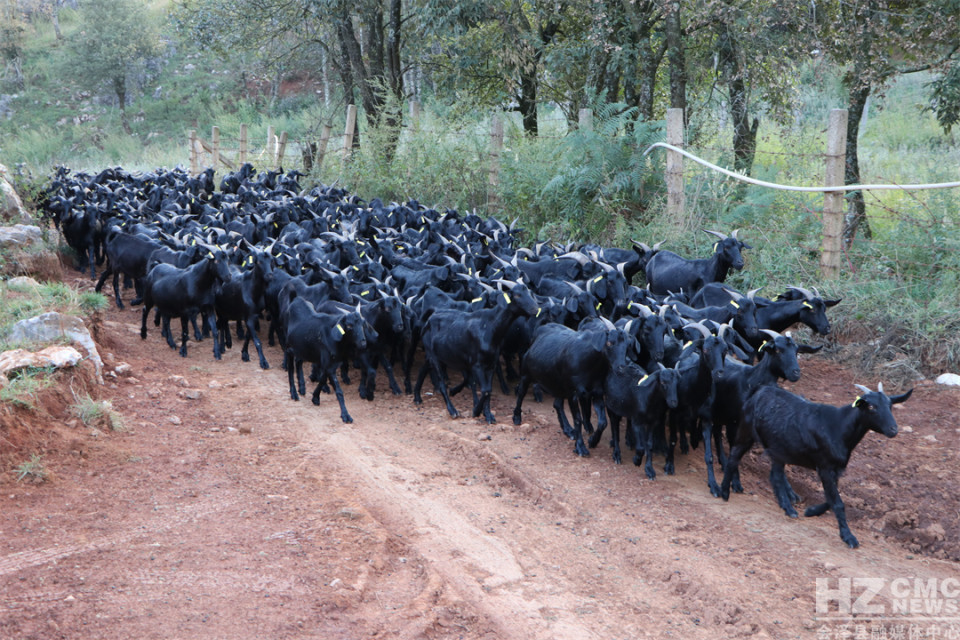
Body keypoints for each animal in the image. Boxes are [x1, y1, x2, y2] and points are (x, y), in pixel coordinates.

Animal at [720, 382, 916, 548]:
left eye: (890, 406)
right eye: (871, 406)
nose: (893, 429)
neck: (839, 428)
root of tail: (759, 392)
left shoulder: (836, 469)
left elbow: (831, 500)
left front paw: (811, 511)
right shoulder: (825, 467)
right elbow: (838, 503)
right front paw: (849, 537)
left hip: (778, 449)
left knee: (775, 475)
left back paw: (787, 507)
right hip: (746, 431)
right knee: (733, 457)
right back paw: (724, 491)